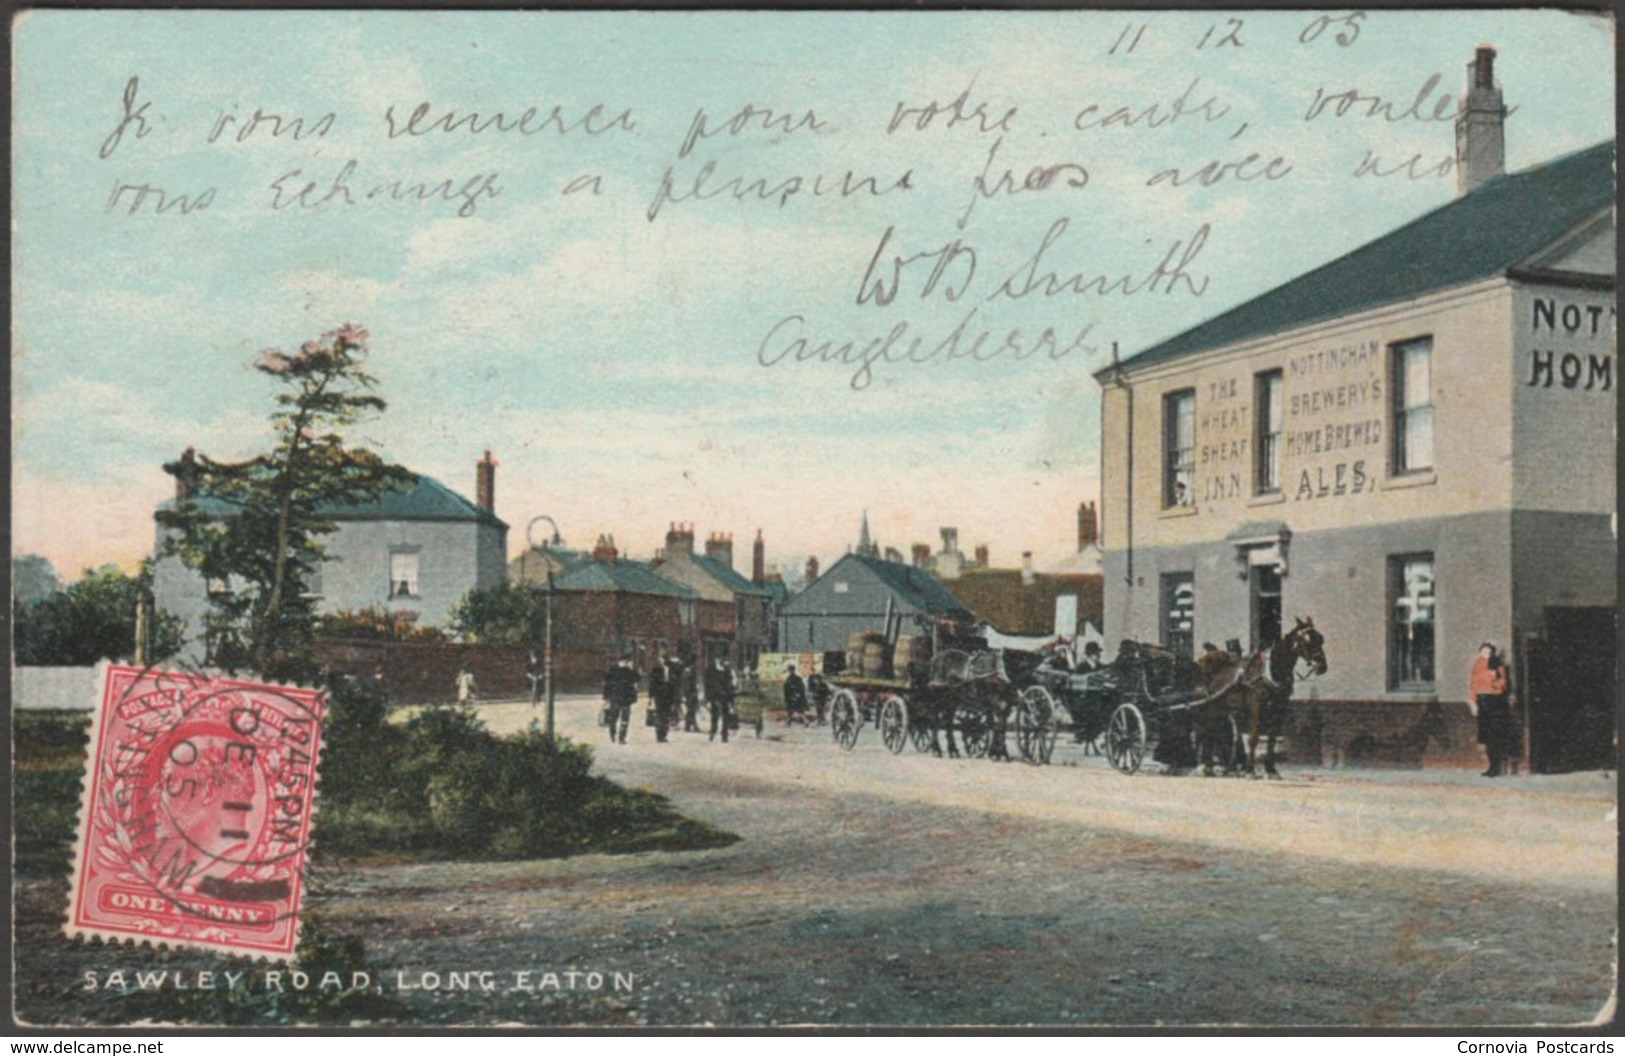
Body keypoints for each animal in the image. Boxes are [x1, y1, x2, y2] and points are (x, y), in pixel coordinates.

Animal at [1196, 617, 1332, 773]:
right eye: (1307, 640)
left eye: (1320, 638)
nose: (1322, 666)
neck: (1272, 669)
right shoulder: (1256, 704)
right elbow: (1253, 737)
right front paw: (1250, 770)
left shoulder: (1280, 706)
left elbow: (1272, 737)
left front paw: (1270, 768)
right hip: (1214, 706)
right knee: (1209, 732)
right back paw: (1208, 767)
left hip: (1226, 707)